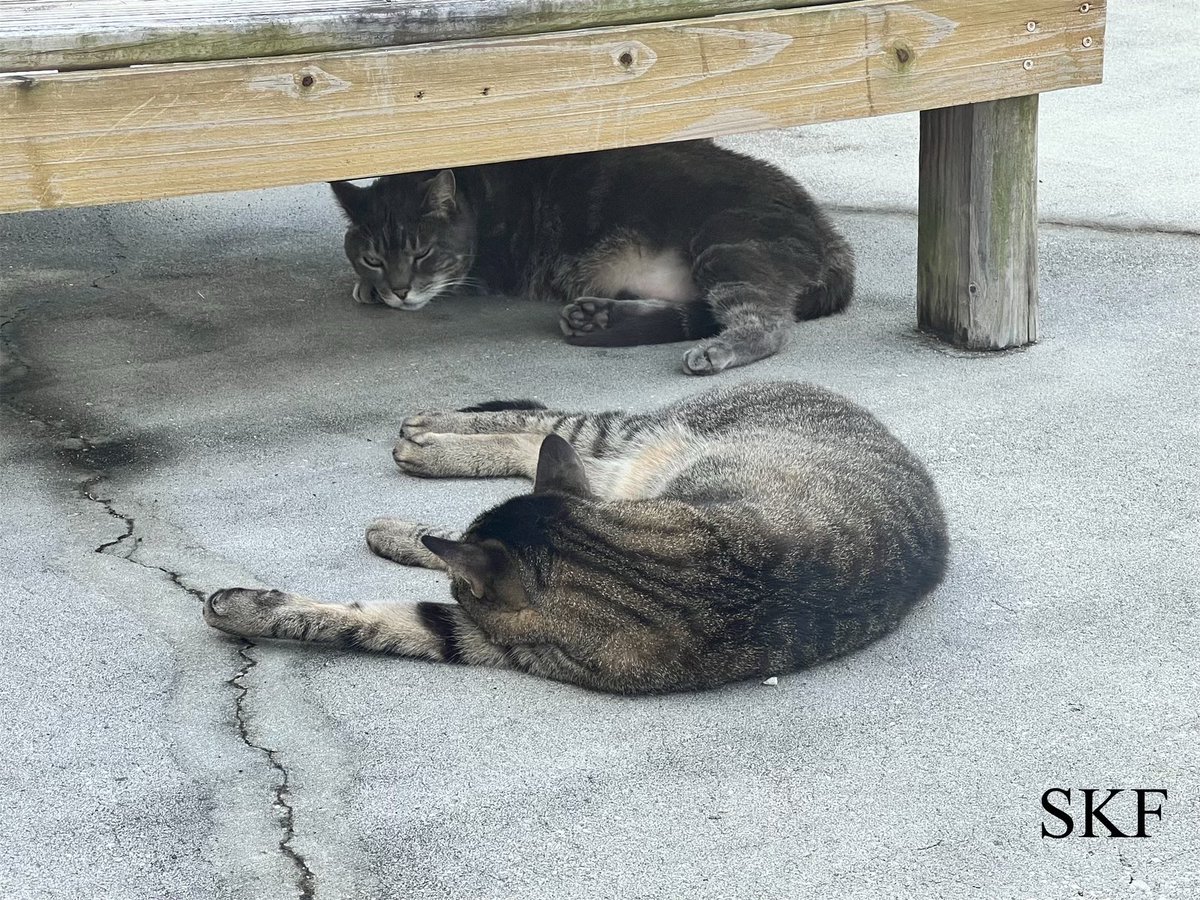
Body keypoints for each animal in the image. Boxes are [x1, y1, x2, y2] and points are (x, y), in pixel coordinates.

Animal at [208, 381, 955, 696]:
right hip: (622, 443)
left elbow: (370, 621)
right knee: (541, 425)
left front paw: (241, 607)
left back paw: (420, 446)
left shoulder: (489, 637)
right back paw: (426, 431)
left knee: (542, 432)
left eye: (458, 585)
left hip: (619, 455)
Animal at [328, 142, 854, 374]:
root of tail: (833, 236)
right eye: (373, 258)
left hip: (727, 244)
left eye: (421, 253)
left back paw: (715, 350)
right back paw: (596, 316)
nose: (398, 290)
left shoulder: (485, 271)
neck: (477, 196)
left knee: (768, 322)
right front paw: (368, 287)